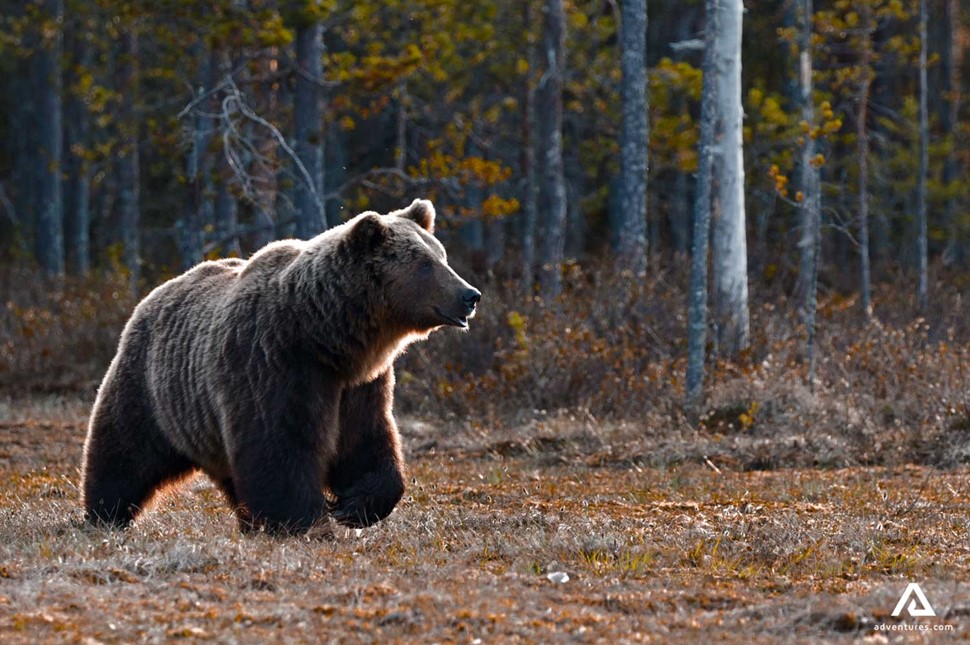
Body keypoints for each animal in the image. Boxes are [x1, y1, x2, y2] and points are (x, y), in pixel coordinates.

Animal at [79, 200, 480, 532]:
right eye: (425, 264)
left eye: (442, 256)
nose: (470, 295)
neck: (327, 337)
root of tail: (155, 293)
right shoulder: (273, 363)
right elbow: (280, 446)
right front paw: (305, 520)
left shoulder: (360, 385)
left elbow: (365, 441)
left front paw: (353, 505)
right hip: (152, 387)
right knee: (124, 451)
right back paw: (104, 514)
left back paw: (247, 521)